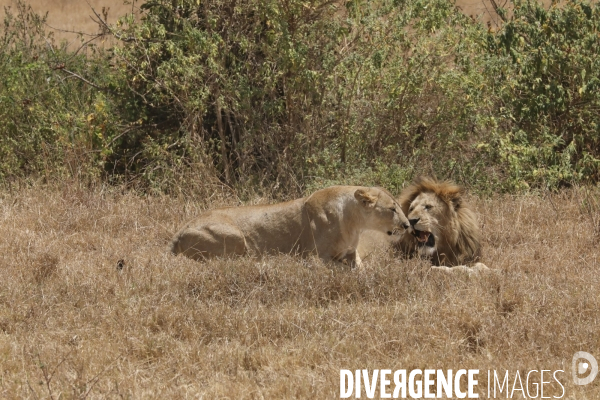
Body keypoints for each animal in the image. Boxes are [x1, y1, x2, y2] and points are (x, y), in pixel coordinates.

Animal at [171, 185, 410, 268]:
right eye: (393, 209)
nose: (408, 225)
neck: (354, 223)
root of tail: (180, 230)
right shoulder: (313, 257)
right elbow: (339, 268)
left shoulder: (351, 251)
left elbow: (360, 266)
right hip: (237, 237)